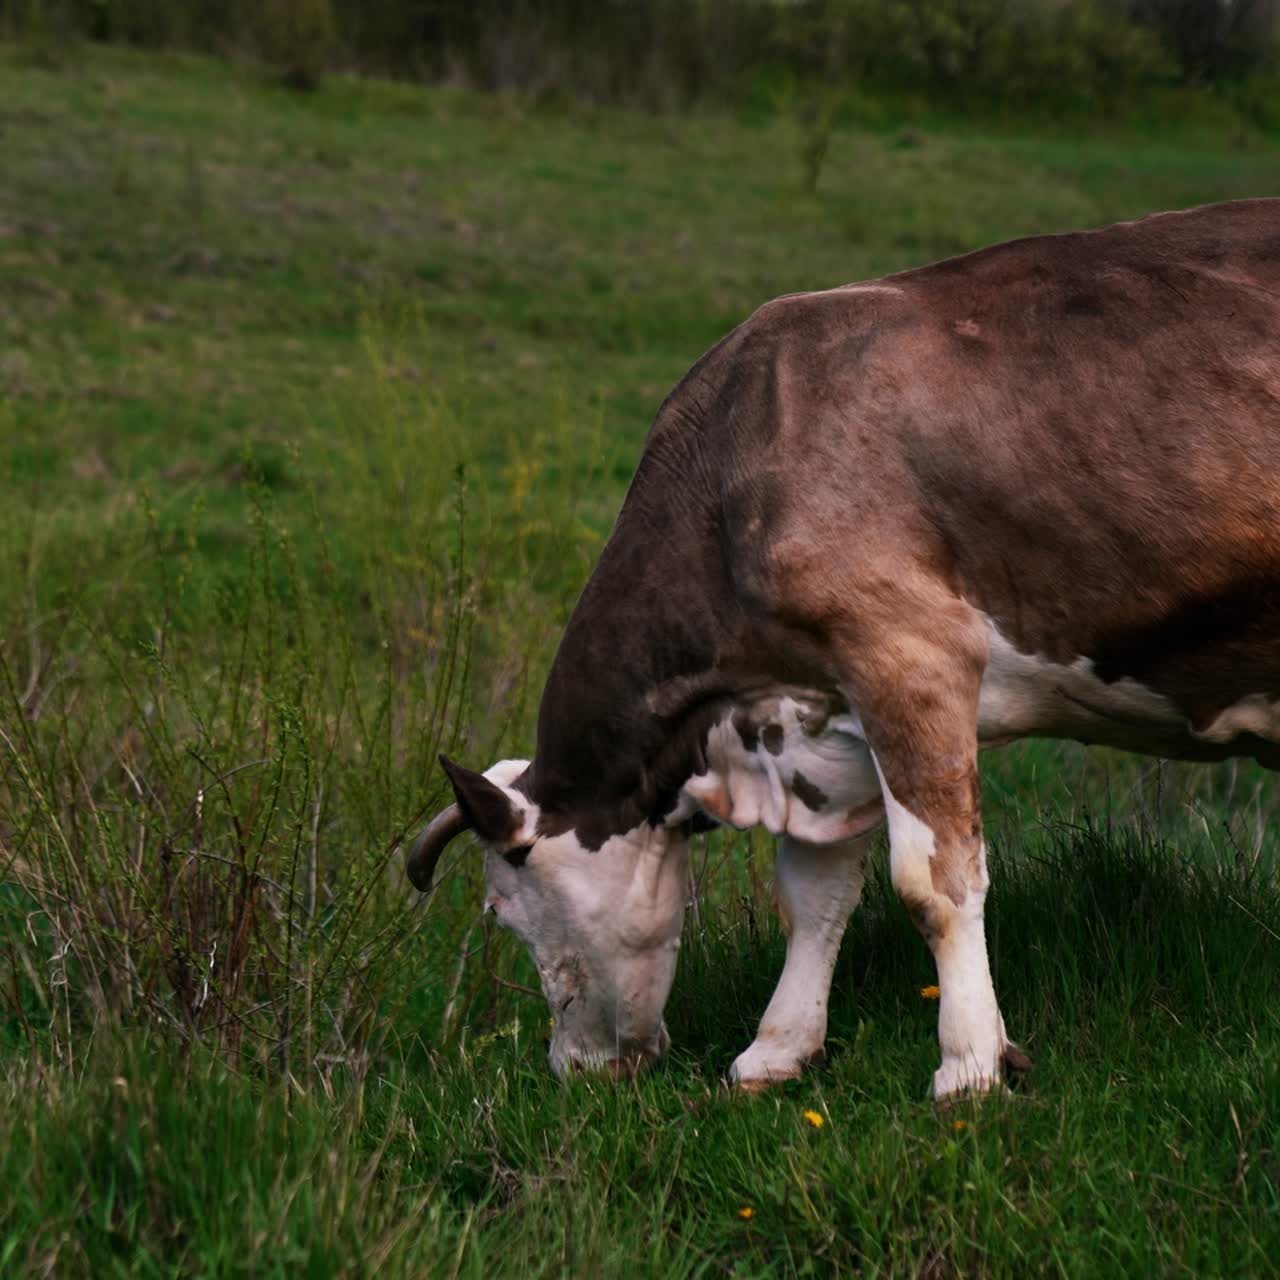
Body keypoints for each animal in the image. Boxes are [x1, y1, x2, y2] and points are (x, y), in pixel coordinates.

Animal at [408, 198, 1280, 1098]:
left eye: (501, 910)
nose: (572, 1070)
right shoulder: (822, 708)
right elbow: (814, 893)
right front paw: (778, 1049)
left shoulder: (910, 656)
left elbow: (932, 885)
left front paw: (968, 1068)